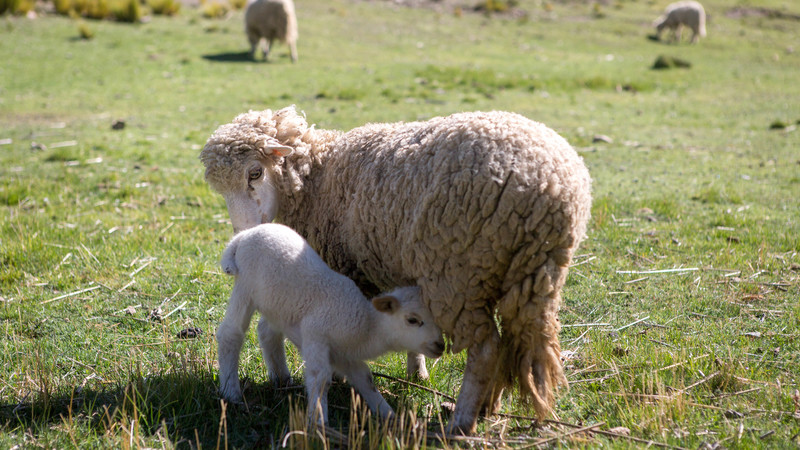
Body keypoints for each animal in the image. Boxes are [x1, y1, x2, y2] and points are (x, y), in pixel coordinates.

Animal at [216, 223, 446, 424]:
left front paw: (389, 416)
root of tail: (245, 234)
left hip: (276, 304)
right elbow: (321, 379)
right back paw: (231, 392)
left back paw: (281, 379)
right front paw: (318, 423)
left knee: (266, 331)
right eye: (412, 320)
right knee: (230, 333)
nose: (440, 345)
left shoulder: (344, 354)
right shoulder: (315, 335)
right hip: (246, 285)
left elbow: (366, 379)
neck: (367, 323)